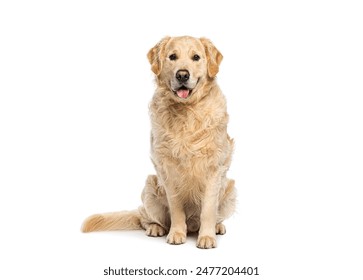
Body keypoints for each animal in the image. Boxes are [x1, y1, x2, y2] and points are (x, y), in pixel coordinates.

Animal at [81, 36, 237, 248]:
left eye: (196, 57)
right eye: (172, 57)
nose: (182, 75)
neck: (186, 112)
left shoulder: (214, 167)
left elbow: (208, 210)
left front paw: (207, 236)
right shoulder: (167, 168)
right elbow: (176, 207)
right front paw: (176, 233)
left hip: (230, 189)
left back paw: (217, 227)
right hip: (150, 187)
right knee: (145, 219)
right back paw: (156, 228)